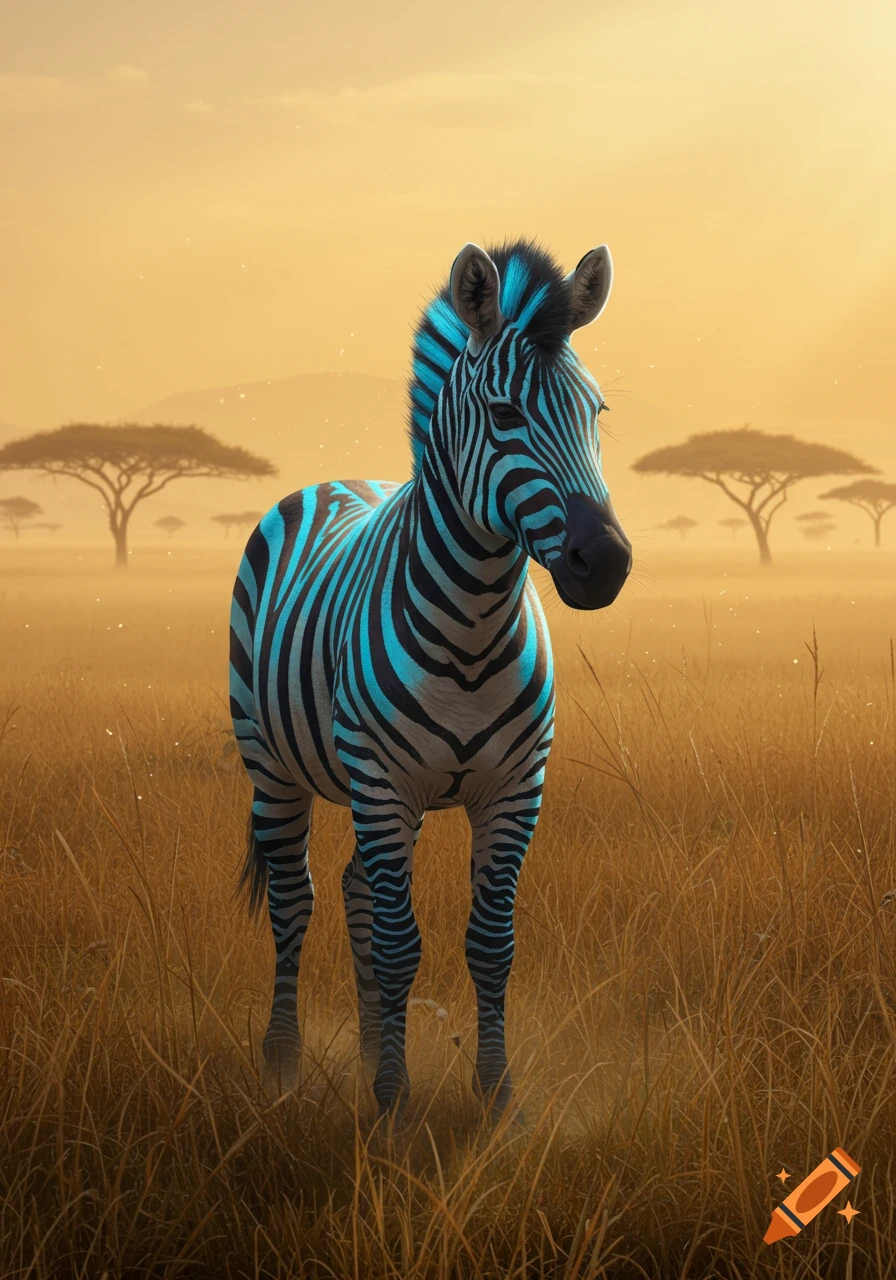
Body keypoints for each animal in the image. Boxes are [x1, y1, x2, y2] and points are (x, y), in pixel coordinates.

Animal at [229, 237, 632, 1121]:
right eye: (506, 416)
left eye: (596, 414)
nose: (607, 563)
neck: (474, 631)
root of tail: (340, 481)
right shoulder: (383, 783)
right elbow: (400, 943)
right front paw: (391, 1103)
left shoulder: (516, 789)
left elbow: (490, 943)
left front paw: (495, 1096)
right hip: (274, 765)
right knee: (297, 899)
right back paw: (282, 1060)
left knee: (355, 892)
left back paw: (368, 1048)